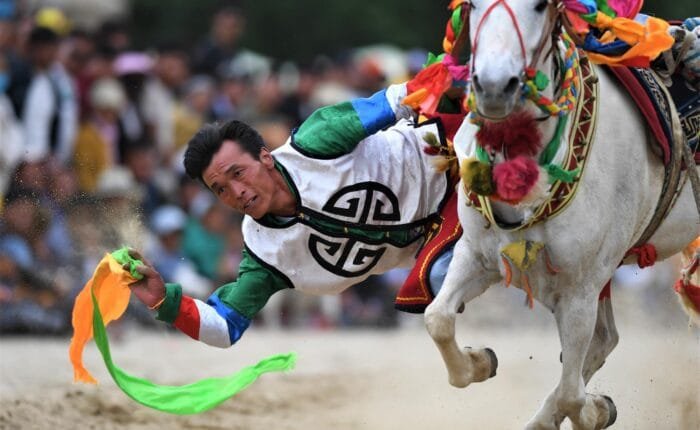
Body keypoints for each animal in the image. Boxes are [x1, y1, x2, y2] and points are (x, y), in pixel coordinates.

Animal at [423, 1, 699, 429]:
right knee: (604, 340)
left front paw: (593, 410)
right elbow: (438, 319)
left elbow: (572, 393)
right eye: (471, 6)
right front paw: (479, 361)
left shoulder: (580, 289)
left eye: (540, 7)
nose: (494, 87)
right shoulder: (477, 255)